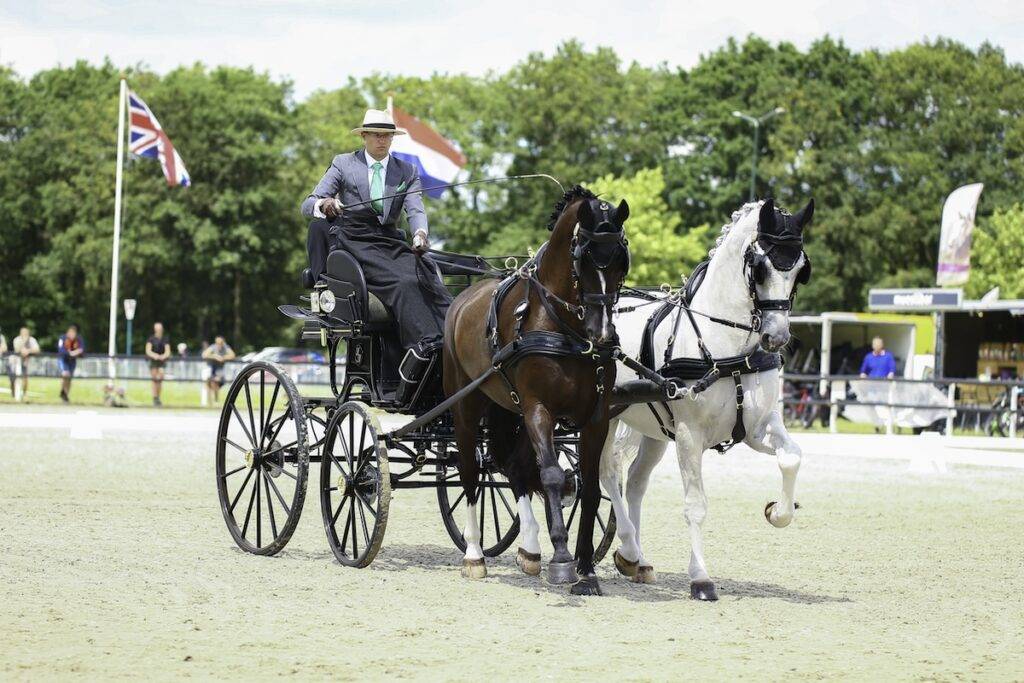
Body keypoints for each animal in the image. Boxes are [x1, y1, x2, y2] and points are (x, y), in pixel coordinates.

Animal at [443, 186, 630, 595]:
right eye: (583, 260)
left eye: (621, 262)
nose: (602, 334)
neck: (564, 327)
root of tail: (462, 299)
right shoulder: (539, 409)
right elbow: (553, 477)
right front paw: (562, 560)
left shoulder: (595, 418)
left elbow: (589, 488)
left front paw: (586, 571)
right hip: (467, 406)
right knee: (470, 472)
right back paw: (474, 554)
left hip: (509, 408)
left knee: (514, 467)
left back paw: (529, 549)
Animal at [599, 197, 812, 600]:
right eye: (760, 268)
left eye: (800, 270)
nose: (776, 338)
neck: (728, 351)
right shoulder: (689, 434)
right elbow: (695, 505)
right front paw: (700, 578)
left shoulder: (756, 428)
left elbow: (792, 457)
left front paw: (778, 511)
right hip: (606, 418)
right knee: (607, 473)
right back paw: (628, 547)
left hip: (653, 430)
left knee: (634, 482)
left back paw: (636, 560)